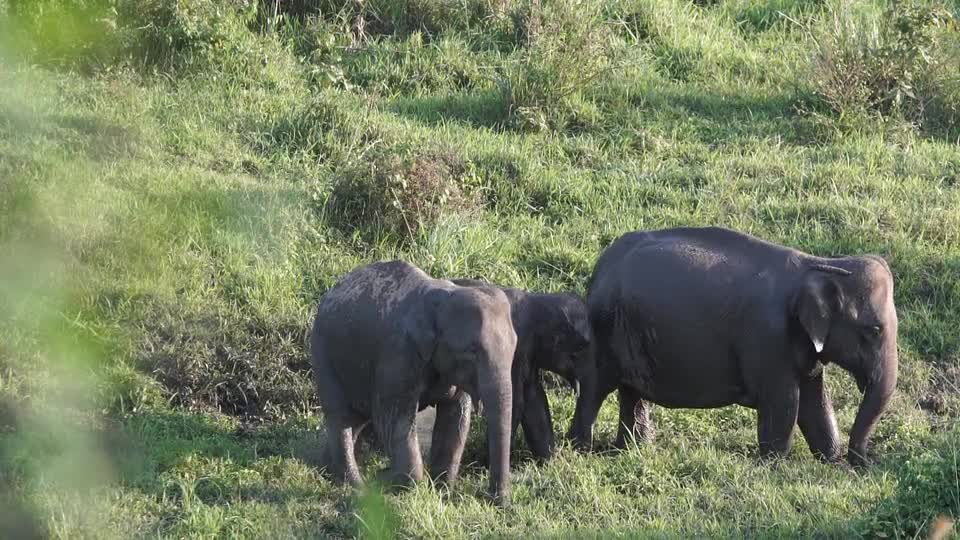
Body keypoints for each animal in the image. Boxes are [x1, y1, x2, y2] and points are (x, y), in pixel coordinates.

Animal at [310, 260, 516, 504]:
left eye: (515, 348)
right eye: (472, 350)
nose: (493, 499)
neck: (443, 294)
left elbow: (455, 416)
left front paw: (442, 491)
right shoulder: (397, 354)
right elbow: (395, 418)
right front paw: (409, 489)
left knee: (357, 418)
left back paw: (324, 470)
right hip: (323, 354)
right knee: (341, 416)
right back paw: (354, 487)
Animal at [568, 226, 900, 466]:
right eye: (873, 330)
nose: (865, 462)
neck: (821, 265)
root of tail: (600, 267)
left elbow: (814, 401)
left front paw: (830, 461)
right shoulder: (769, 338)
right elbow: (784, 402)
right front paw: (774, 466)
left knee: (630, 391)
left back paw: (633, 449)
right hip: (604, 328)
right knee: (595, 387)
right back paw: (580, 450)